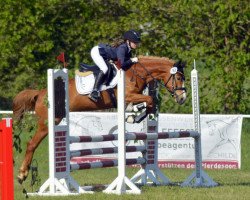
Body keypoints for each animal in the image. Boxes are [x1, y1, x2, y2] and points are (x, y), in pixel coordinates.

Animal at [12, 55, 187, 184]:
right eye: (178, 77)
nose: (183, 98)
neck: (136, 72)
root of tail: (40, 93)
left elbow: (150, 103)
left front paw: (133, 115)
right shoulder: (127, 95)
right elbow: (149, 100)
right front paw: (132, 116)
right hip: (48, 122)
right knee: (31, 144)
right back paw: (22, 175)